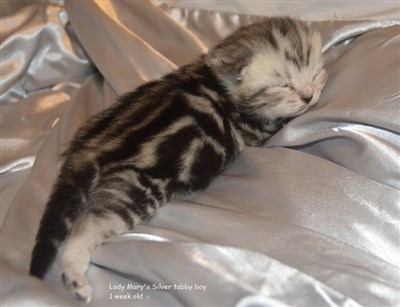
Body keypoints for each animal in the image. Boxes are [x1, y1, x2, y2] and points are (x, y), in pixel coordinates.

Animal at [29, 16, 326, 304]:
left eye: (315, 74)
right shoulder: (255, 130)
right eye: (284, 84)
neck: (216, 79)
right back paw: (75, 277)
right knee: (88, 227)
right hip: (137, 188)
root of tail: (91, 148)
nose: (308, 95)